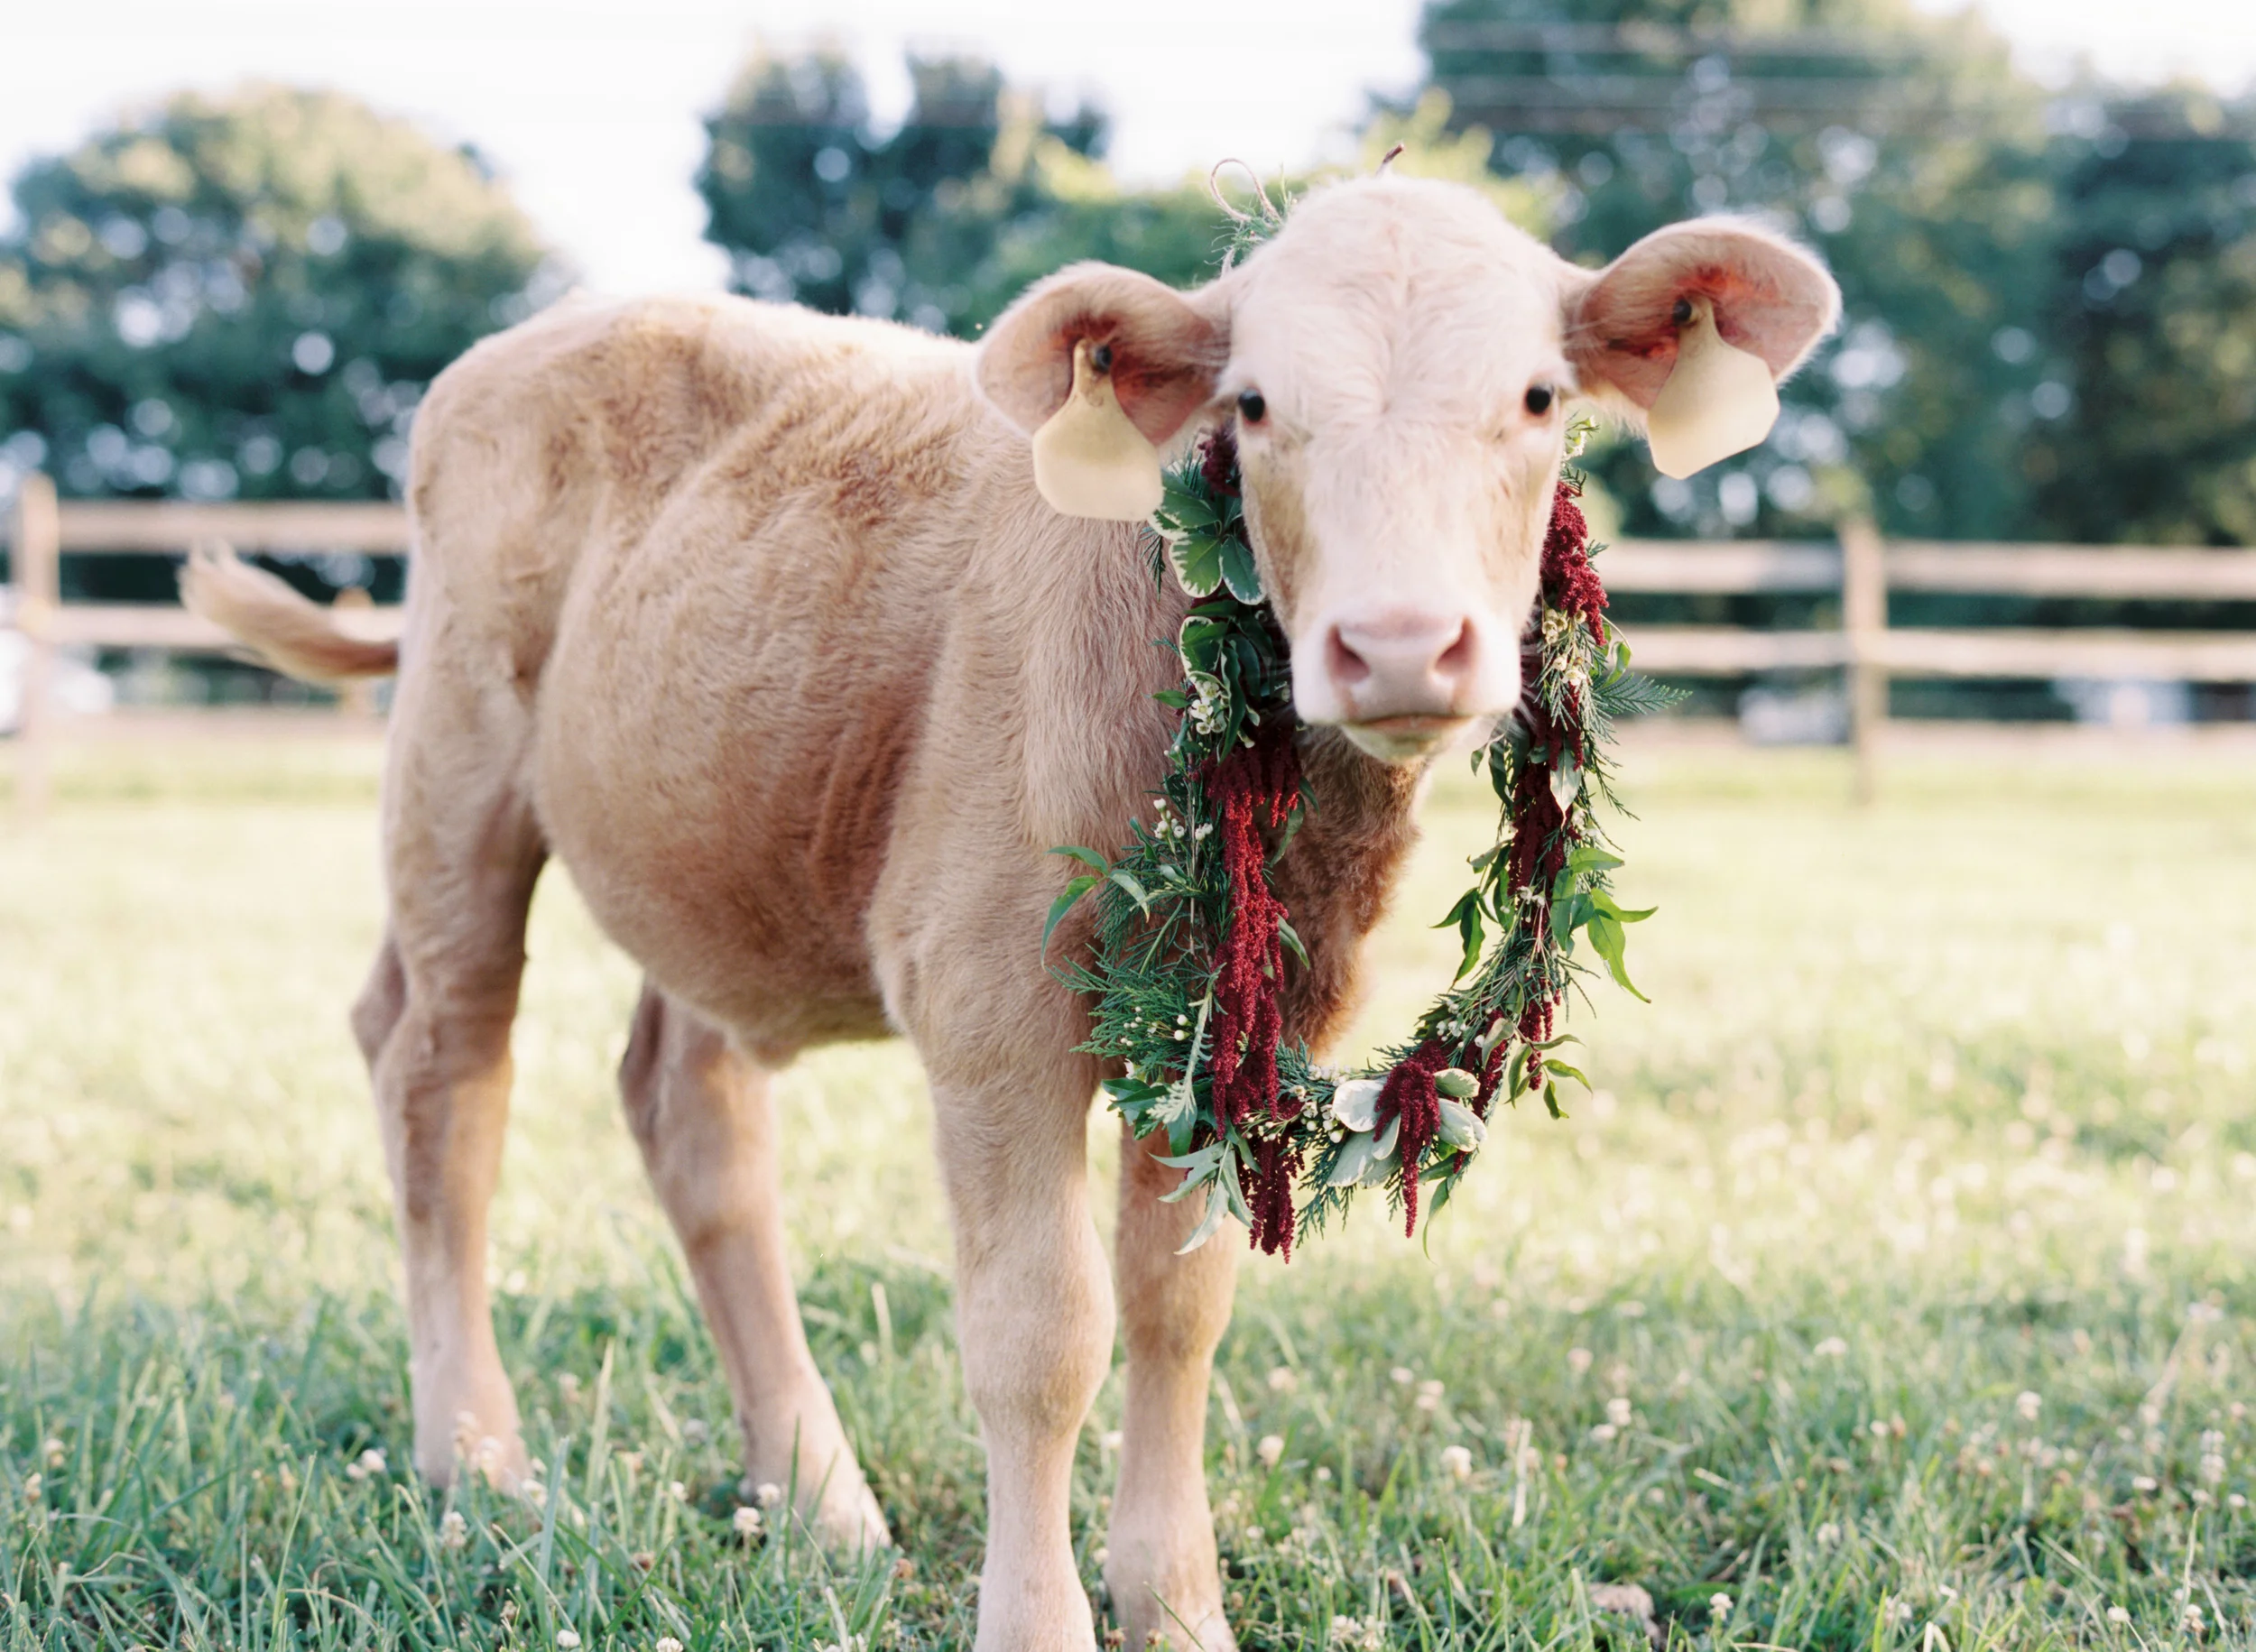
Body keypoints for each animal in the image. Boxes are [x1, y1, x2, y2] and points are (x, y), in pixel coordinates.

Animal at [185, 173, 1837, 1652]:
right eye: (1251, 409)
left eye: (1541, 398)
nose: (1397, 643)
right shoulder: (990, 1006)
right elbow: (1042, 1337)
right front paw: (1042, 1622)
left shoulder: (1238, 1028)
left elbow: (1179, 1307)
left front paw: (1179, 1611)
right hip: (455, 773)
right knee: (441, 1072)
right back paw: (481, 1459)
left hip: (720, 835)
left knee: (688, 1109)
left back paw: (818, 1497)